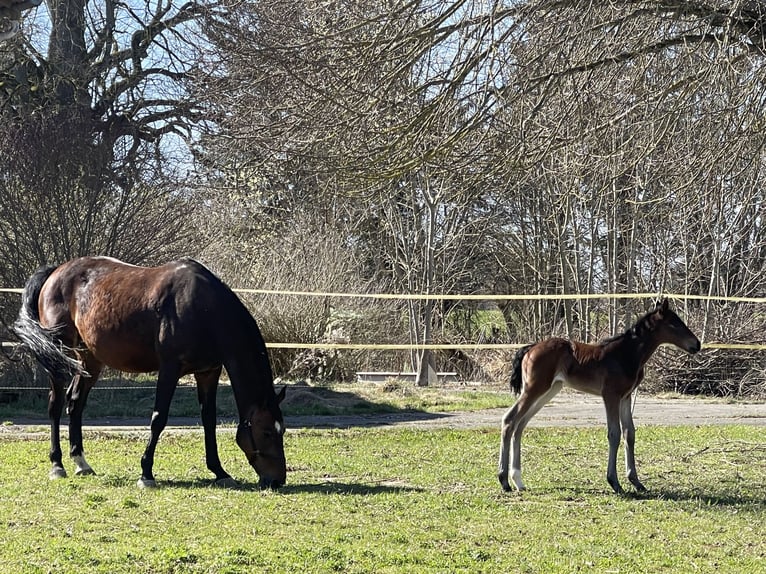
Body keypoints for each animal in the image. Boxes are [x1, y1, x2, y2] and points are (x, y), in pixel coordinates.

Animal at [12, 256, 287, 489]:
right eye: (265, 432)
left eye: (282, 430)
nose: (277, 480)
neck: (203, 310)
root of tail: (55, 272)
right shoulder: (169, 369)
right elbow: (159, 418)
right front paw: (146, 474)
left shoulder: (208, 372)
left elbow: (209, 420)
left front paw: (219, 472)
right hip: (57, 353)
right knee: (56, 404)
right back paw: (57, 465)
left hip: (89, 359)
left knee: (75, 402)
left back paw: (81, 462)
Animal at [498, 298, 700, 494]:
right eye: (674, 323)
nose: (697, 344)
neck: (626, 354)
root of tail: (530, 348)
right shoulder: (610, 395)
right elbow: (614, 433)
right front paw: (614, 482)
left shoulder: (626, 397)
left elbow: (629, 433)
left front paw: (636, 482)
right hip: (534, 389)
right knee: (510, 419)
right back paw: (504, 481)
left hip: (549, 390)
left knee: (520, 424)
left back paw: (518, 481)